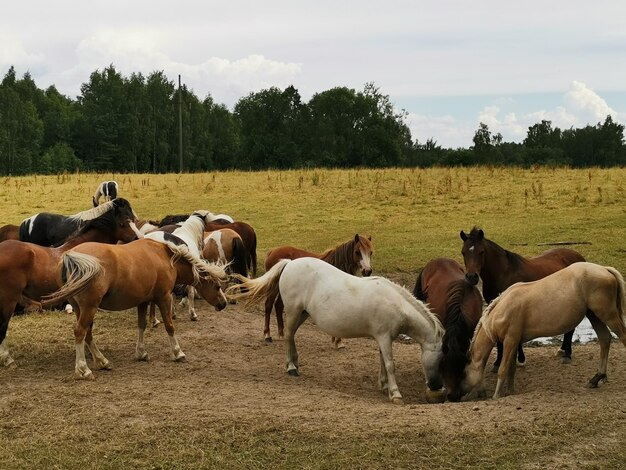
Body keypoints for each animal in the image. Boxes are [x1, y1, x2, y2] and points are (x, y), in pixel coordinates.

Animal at [0, 198, 139, 368]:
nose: (136, 238)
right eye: (124, 222)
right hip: (9, 300)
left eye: (132, 217)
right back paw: (8, 359)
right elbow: (88, 327)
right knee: (3, 326)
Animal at [41, 237, 227, 380]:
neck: (165, 258)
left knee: (88, 334)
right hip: (89, 308)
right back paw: (83, 369)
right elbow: (169, 326)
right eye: (217, 286)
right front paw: (177, 352)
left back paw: (102, 361)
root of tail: (71, 255)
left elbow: (141, 326)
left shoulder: (143, 301)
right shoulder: (164, 298)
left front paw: (141, 352)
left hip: (81, 308)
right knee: (80, 332)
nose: (223, 304)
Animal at [227, 258, 446, 404]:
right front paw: (395, 393)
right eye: (442, 357)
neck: (397, 304)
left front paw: (384, 385)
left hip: (303, 313)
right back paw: (290, 367)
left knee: (293, 336)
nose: (436, 385)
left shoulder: (383, 338)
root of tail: (290, 263)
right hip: (293, 311)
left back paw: (295, 362)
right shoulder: (384, 337)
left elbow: (383, 361)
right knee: (288, 336)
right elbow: (391, 364)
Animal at [458, 262, 624, 398]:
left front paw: (497, 396)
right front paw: (510, 392)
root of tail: (605, 269)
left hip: (607, 315)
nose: (457, 395)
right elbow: (511, 370)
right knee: (605, 338)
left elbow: (503, 370)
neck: (503, 309)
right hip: (594, 315)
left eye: (463, 372)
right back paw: (596, 378)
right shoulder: (513, 342)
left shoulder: (510, 341)